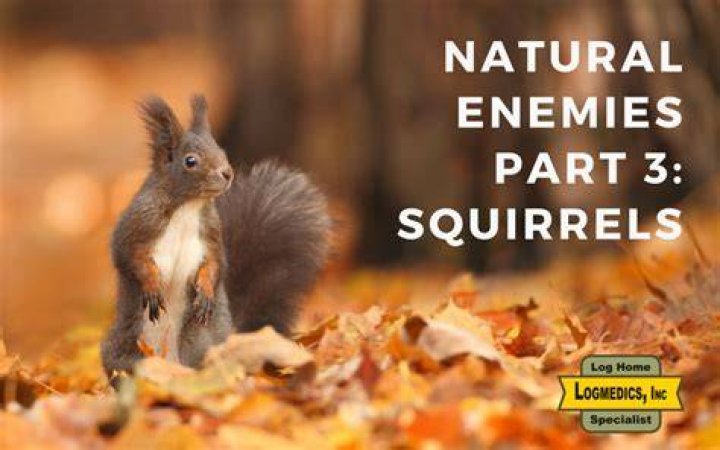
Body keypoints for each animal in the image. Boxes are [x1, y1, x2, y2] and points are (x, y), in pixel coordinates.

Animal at [101, 95, 330, 379]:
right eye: (190, 161)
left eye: (223, 152)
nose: (227, 173)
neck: (189, 206)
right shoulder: (138, 223)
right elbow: (129, 256)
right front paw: (153, 285)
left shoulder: (211, 234)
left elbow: (215, 264)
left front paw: (206, 291)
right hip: (126, 345)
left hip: (200, 338)